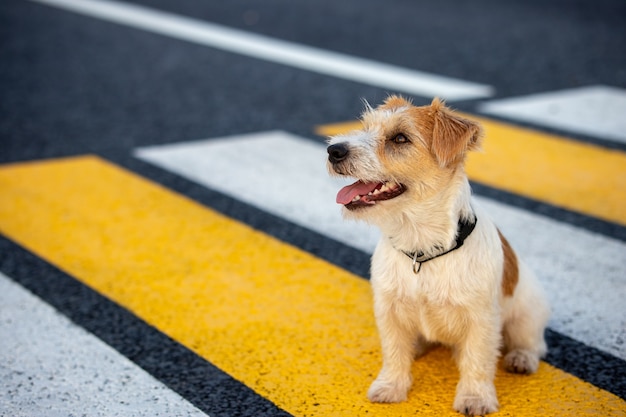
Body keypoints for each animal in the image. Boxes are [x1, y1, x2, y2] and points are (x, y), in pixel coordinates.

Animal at [326, 96, 544, 412]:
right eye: (365, 128)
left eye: (399, 138)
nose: (333, 150)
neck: (421, 248)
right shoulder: (389, 309)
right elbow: (394, 352)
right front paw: (391, 385)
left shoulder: (481, 319)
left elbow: (478, 360)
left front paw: (475, 398)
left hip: (527, 314)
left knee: (534, 343)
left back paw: (522, 358)